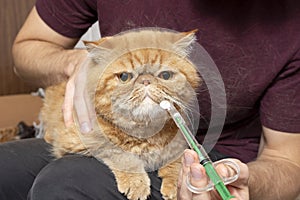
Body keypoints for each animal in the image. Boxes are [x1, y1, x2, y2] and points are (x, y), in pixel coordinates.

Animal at [41, 28, 202, 200]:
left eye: (165, 75)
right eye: (124, 77)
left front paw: (174, 184)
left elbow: (177, 160)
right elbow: (122, 155)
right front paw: (136, 182)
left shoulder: (180, 140)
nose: (146, 80)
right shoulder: (84, 142)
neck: (145, 133)